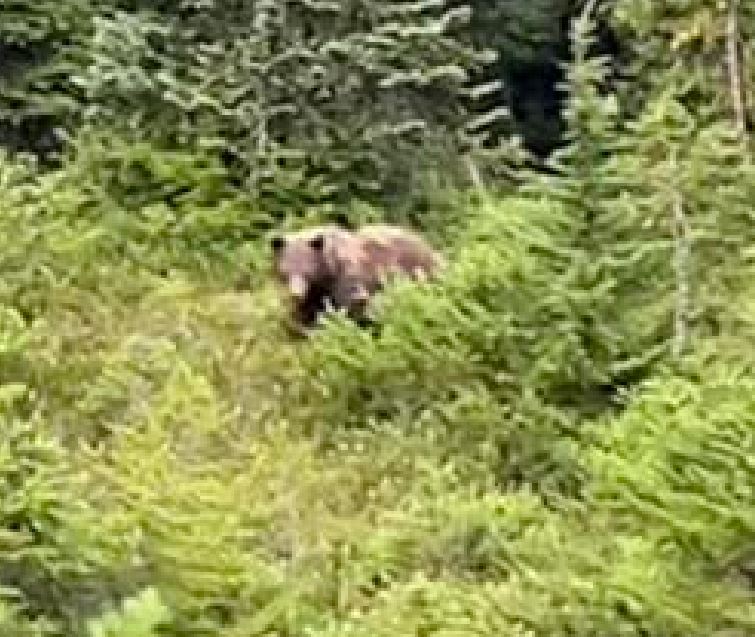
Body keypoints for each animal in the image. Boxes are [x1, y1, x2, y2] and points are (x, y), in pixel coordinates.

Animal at [270, 223, 443, 330]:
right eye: (285, 271)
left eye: (307, 271)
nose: (295, 294)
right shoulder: (315, 293)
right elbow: (308, 315)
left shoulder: (348, 280)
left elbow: (351, 309)